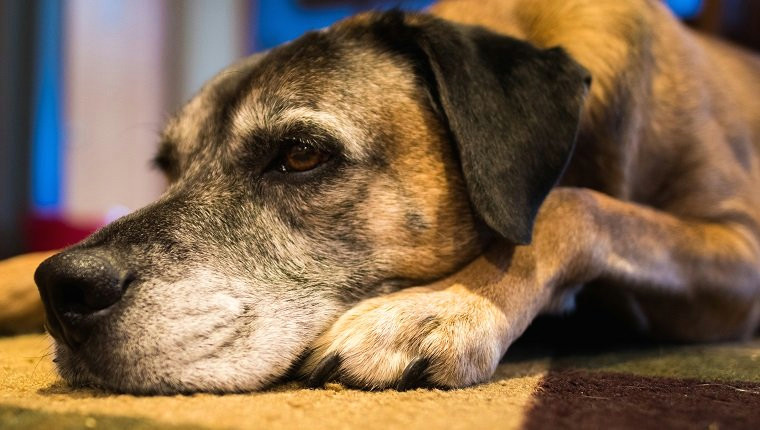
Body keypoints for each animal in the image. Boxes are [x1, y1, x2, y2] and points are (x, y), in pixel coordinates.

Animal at [1, 0, 760, 394]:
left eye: (301, 155)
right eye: (168, 168)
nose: (64, 289)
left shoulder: (739, 255)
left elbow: (573, 206)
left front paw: (440, 307)